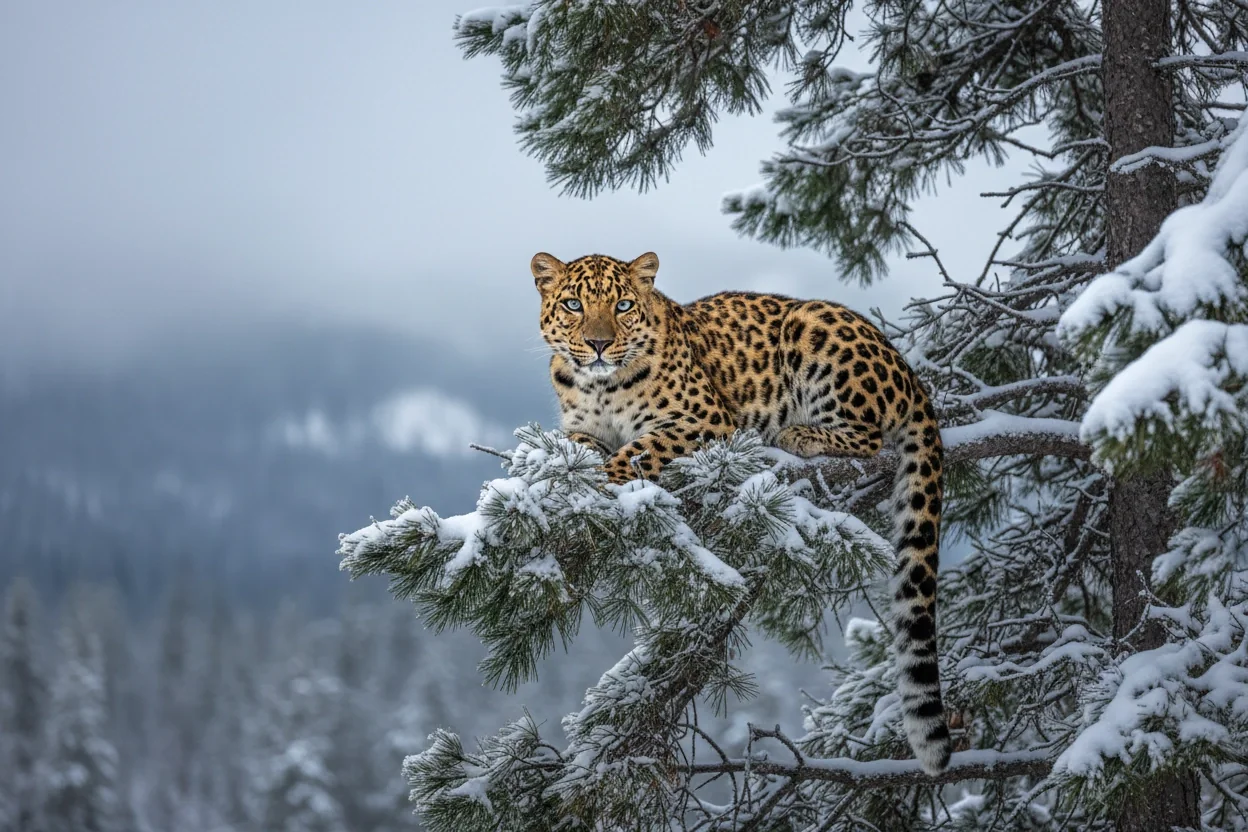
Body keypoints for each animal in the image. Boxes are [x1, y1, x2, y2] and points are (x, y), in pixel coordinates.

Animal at [530, 250, 951, 774]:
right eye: (573, 304)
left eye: (623, 305)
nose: (600, 344)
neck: (601, 389)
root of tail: (909, 371)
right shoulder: (580, 431)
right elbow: (579, 455)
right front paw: (558, 486)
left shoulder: (703, 419)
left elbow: (637, 451)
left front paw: (602, 486)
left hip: (812, 326)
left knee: (869, 436)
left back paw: (795, 434)